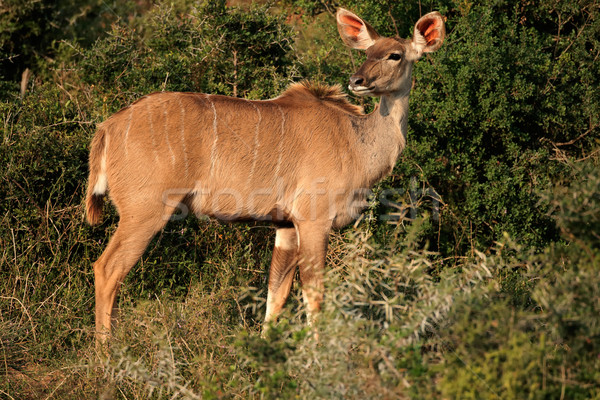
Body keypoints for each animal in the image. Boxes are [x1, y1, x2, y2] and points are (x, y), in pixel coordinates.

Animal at [88, 7, 446, 344]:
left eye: (394, 55)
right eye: (368, 52)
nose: (356, 80)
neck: (355, 139)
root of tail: (108, 128)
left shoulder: (285, 225)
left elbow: (277, 293)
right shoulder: (313, 220)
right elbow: (313, 293)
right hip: (145, 211)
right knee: (107, 269)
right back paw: (107, 355)